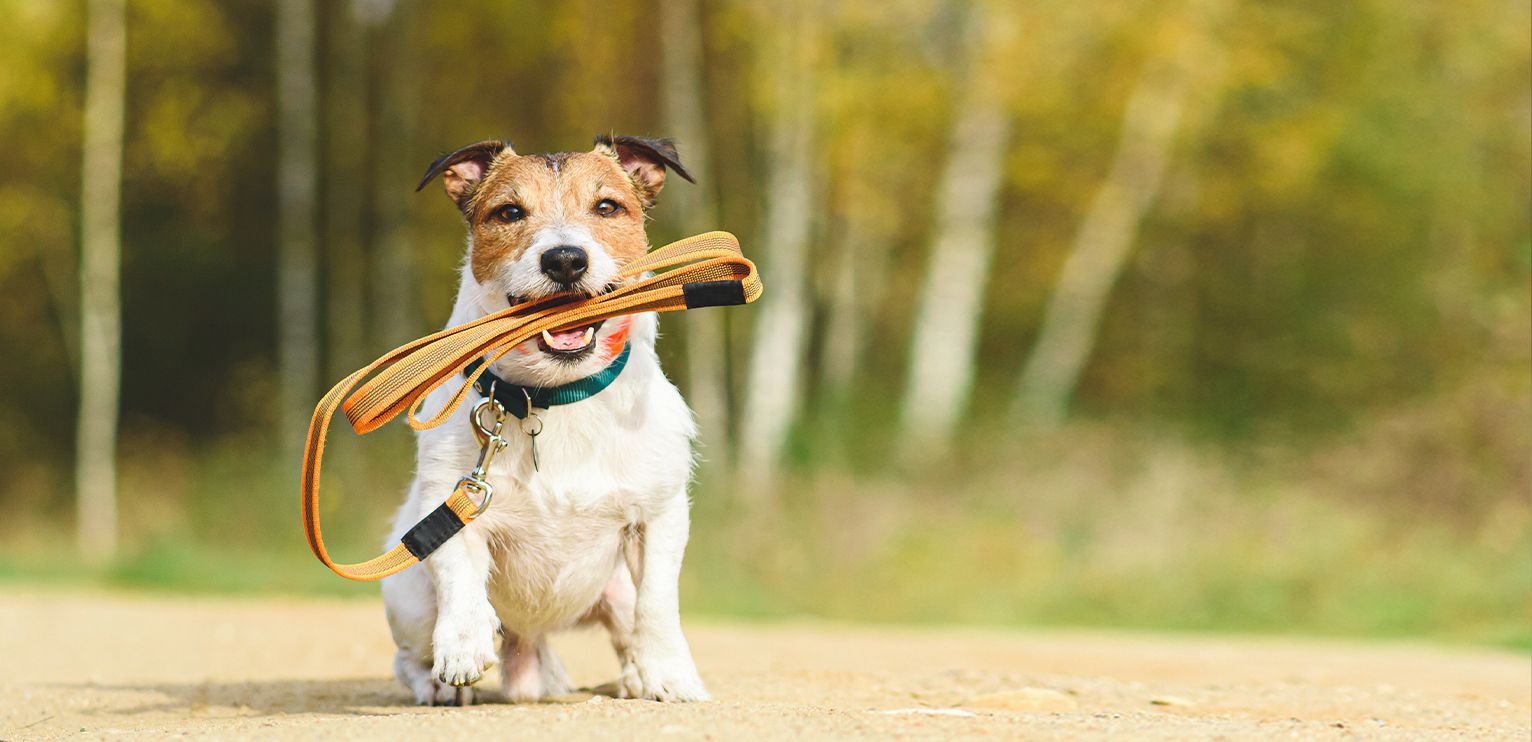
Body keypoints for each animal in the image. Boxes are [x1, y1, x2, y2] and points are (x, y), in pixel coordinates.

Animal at [389, 134, 710, 708]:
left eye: (607, 207)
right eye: (509, 212)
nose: (564, 258)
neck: (558, 394)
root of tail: (529, 641)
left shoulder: (660, 515)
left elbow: (657, 605)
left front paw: (668, 674)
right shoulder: (449, 503)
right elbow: (460, 577)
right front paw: (463, 646)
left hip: (614, 591)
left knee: (628, 628)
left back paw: (634, 677)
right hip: (411, 599)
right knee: (408, 656)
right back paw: (437, 684)